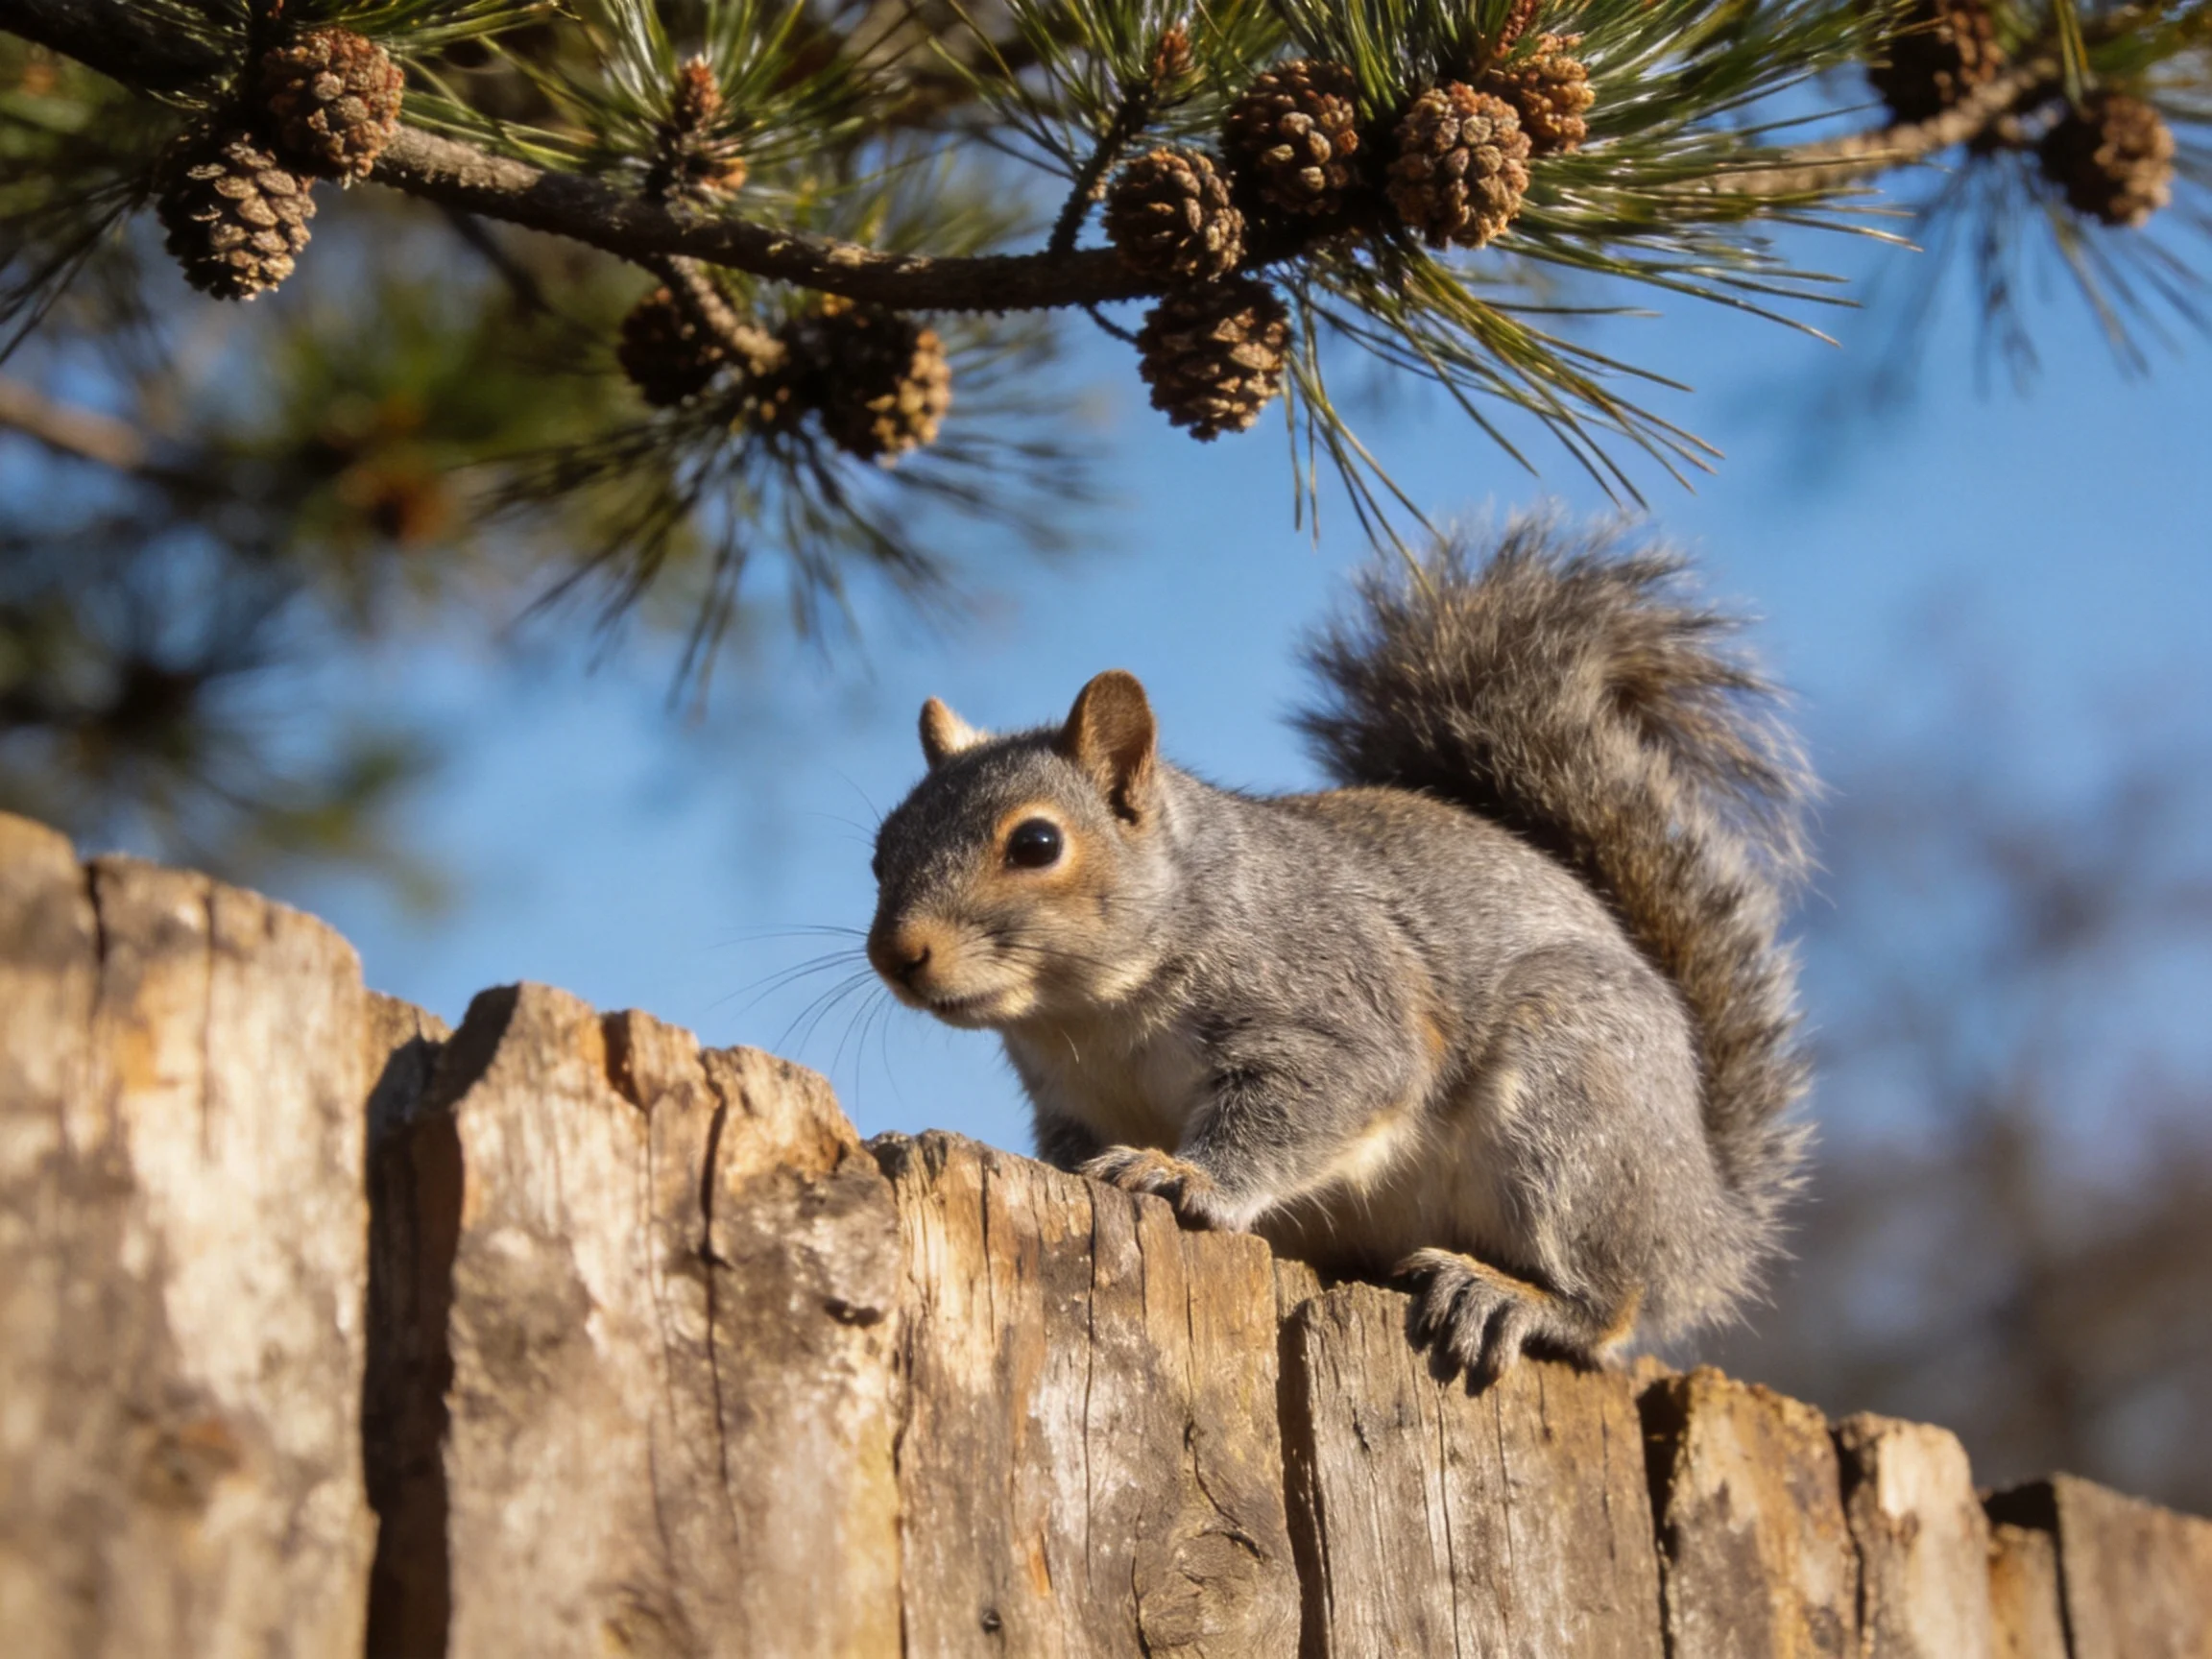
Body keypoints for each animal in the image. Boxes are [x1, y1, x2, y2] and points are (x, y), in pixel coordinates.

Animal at [865, 518, 1814, 1381]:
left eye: (1036, 844)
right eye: (879, 851)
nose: (896, 954)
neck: (1093, 1014)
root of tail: (1706, 1220)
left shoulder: (1331, 1009)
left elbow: (1313, 1100)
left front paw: (1182, 1174)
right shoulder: (1070, 1102)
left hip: (1572, 1101)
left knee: (1610, 1300)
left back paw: (1509, 1295)